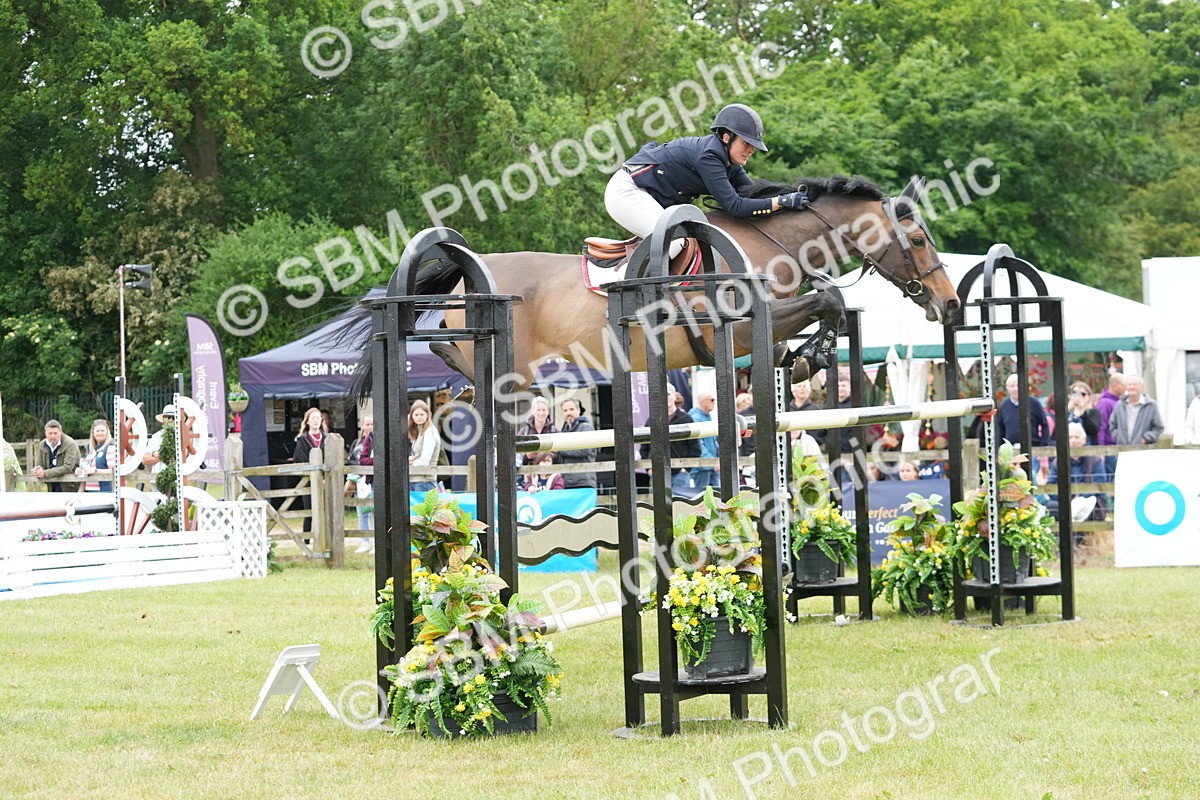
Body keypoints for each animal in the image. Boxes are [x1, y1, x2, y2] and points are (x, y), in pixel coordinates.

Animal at [354, 175, 959, 392]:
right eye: (919, 240)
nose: (950, 306)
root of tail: (471, 272)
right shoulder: (739, 330)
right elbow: (829, 297)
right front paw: (810, 358)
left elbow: (822, 309)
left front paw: (806, 358)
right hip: (512, 356)